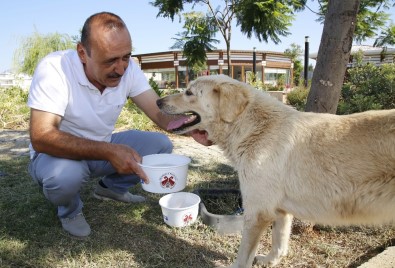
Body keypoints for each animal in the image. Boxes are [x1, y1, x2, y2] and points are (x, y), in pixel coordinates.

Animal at [156, 74, 394, 266]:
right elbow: (279, 243)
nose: (158, 100)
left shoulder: (257, 213)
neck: (251, 127)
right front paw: (270, 261)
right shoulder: (280, 211)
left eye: (189, 92)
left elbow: (243, 257)